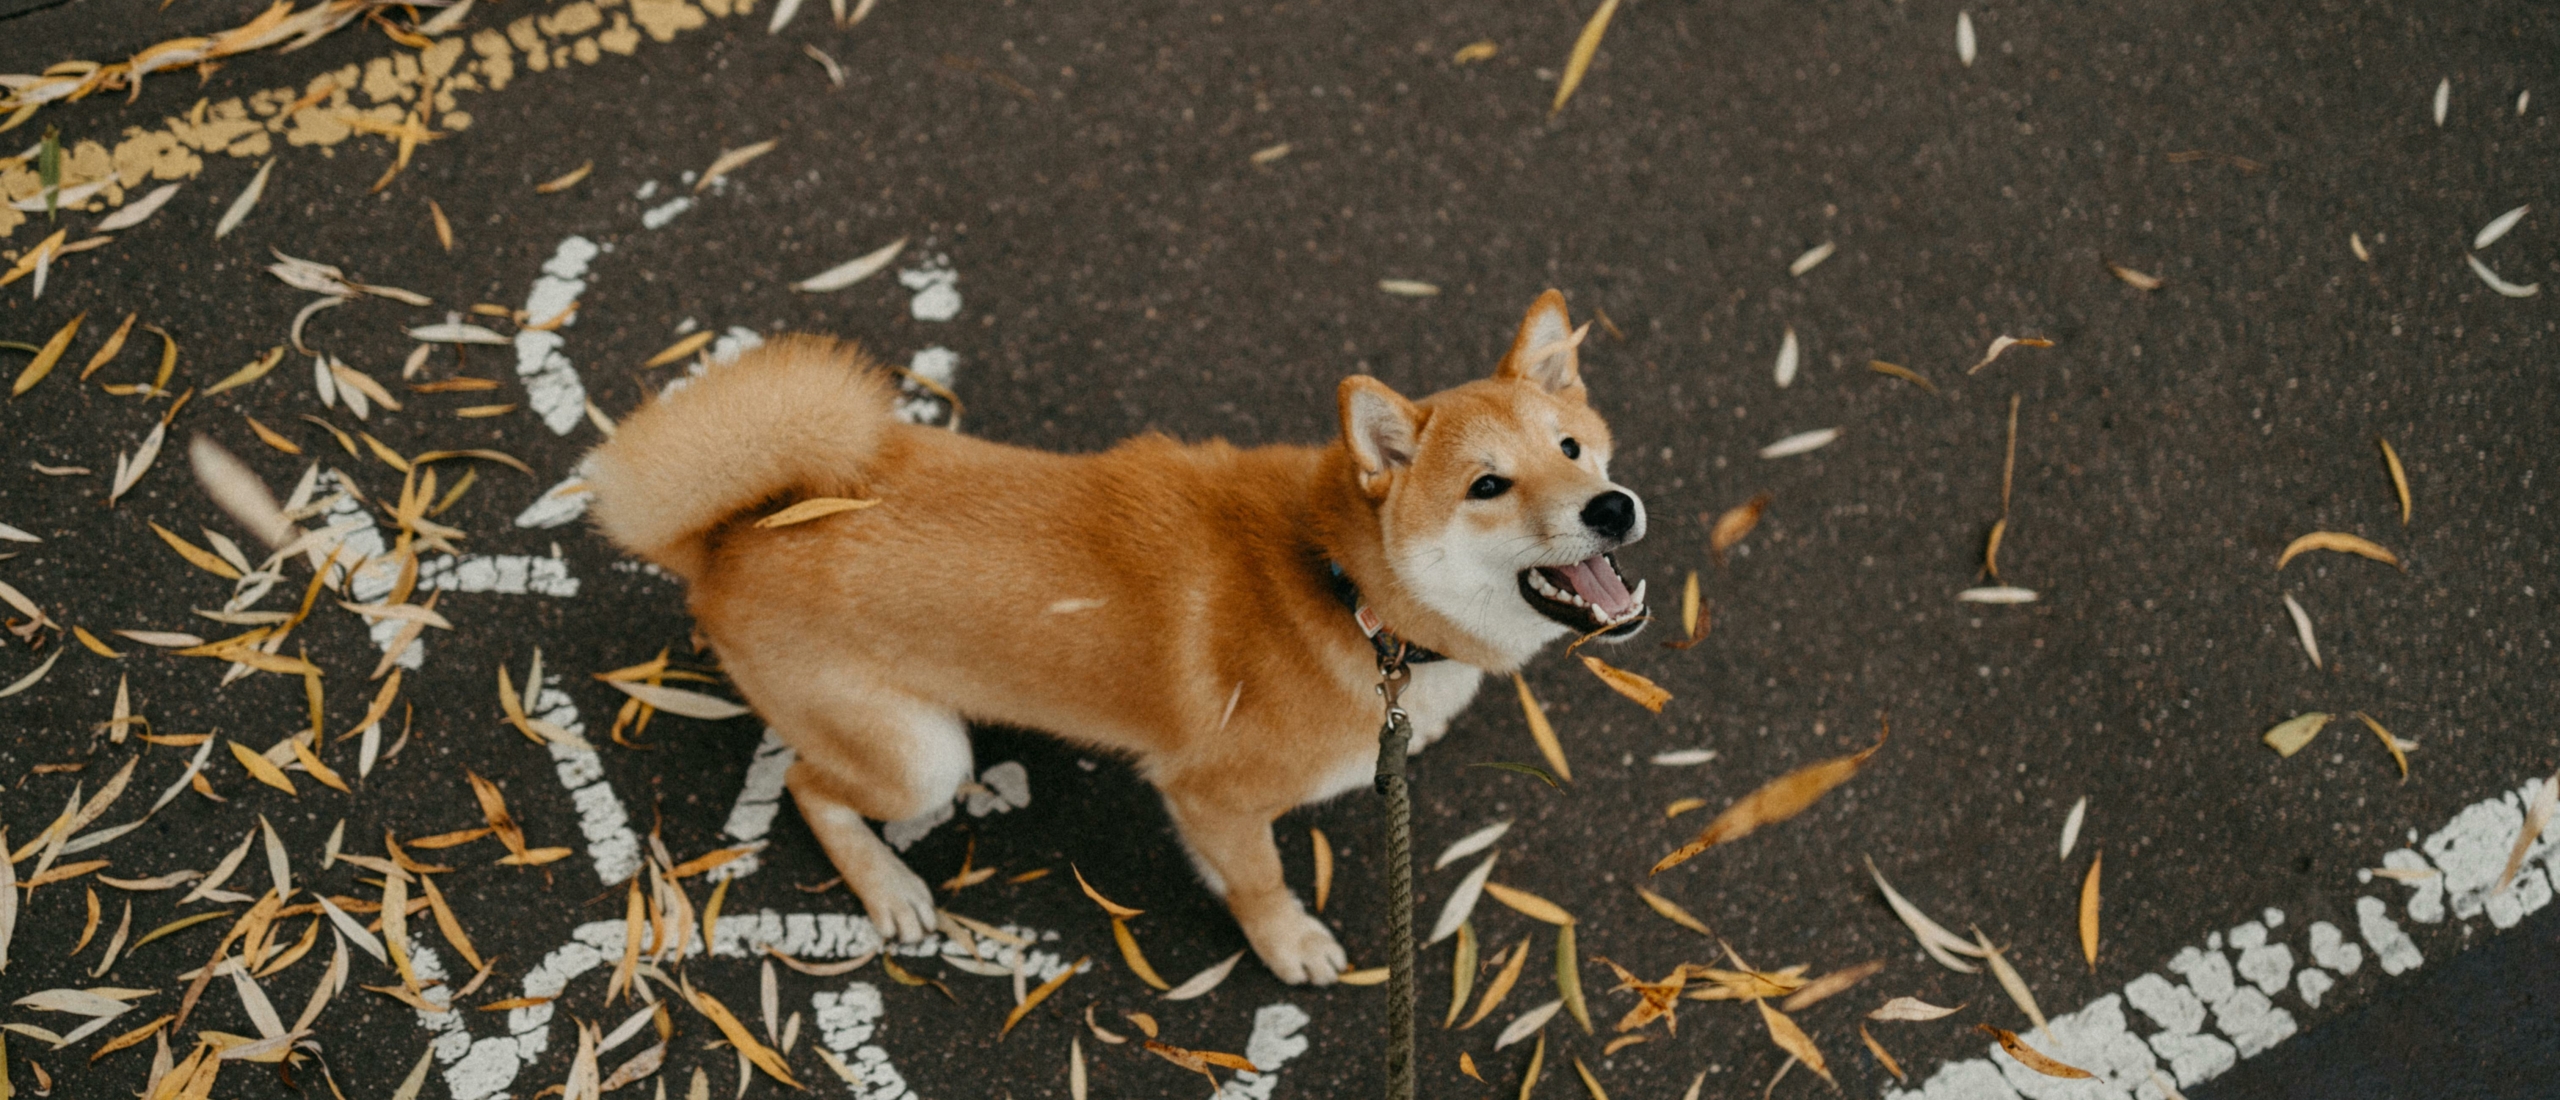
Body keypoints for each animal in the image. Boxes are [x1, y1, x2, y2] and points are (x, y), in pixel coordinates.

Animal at [586, 287, 1648, 982]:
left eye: (1571, 447)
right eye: (1487, 486)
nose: (1612, 506)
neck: (1346, 589)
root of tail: (724, 539)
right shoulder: (1215, 795)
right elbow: (1261, 882)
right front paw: (1287, 944)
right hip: (918, 756)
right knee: (814, 790)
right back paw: (887, 886)